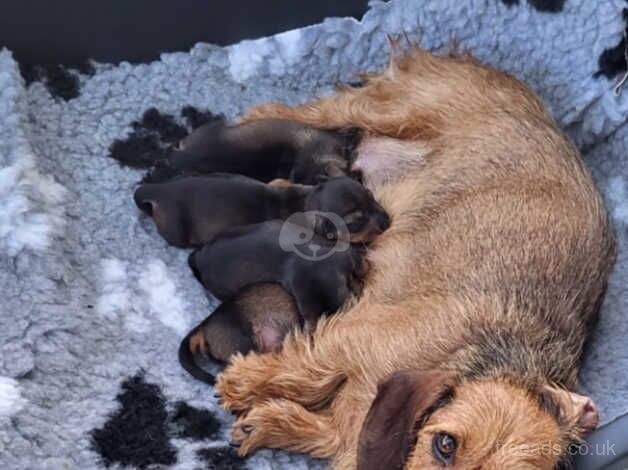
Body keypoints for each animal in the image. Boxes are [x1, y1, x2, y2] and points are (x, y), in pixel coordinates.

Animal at [134, 173, 388, 248]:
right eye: (357, 220)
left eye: (371, 196)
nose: (388, 221)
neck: (305, 202)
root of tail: (160, 190)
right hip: (177, 231)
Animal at [213, 45, 616, 470]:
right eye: (445, 443)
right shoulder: (352, 334)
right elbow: (307, 367)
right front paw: (243, 381)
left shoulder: (349, 430)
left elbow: (324, 430)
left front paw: (264, 423)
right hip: (394, 108)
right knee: (327, 109)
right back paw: (259, 114)